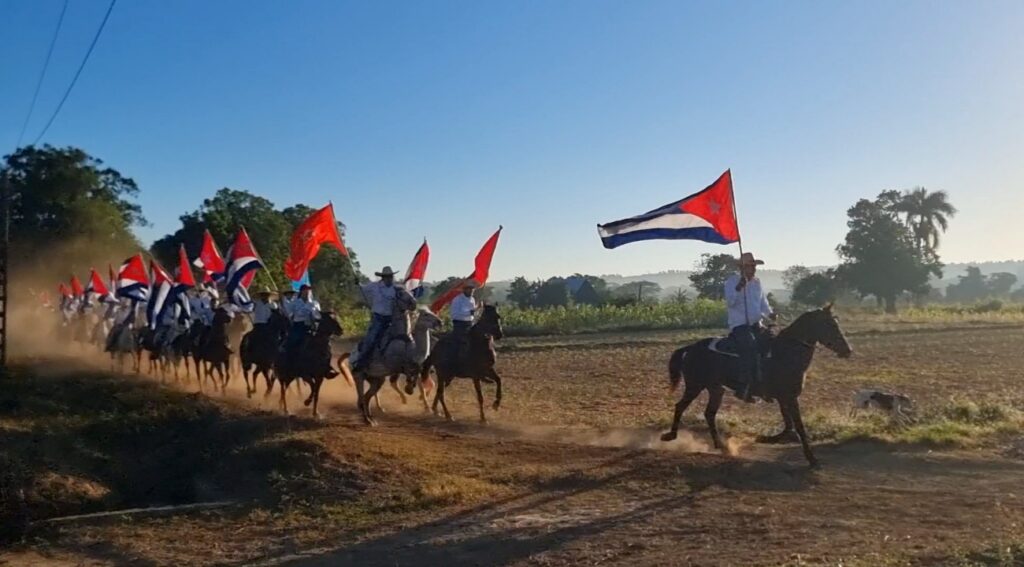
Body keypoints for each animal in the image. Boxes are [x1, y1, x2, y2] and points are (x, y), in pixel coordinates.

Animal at [659, 304, 853, 467]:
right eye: (829, 324)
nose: (848, 350)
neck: (785, 353)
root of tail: (690, 347)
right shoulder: (790, 397)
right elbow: (798, 426)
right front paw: (812, 460)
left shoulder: (784, 397)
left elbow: (788, 425)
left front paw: (768, 438)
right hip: (695, 385)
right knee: (680, 406)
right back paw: (670, 436)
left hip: (716, 389)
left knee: (709, 414)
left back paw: (721, 446)